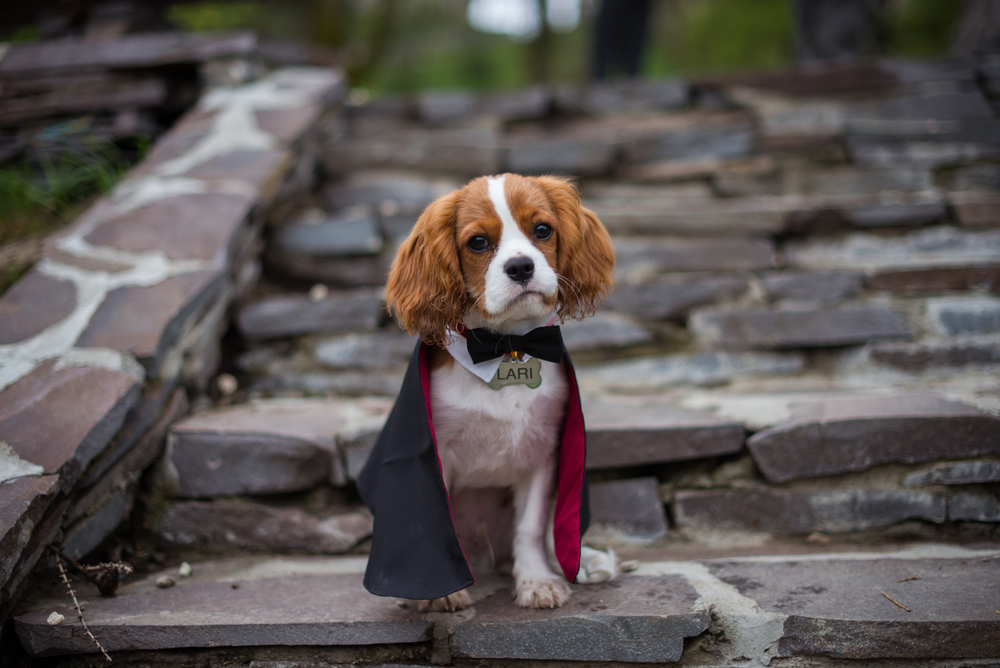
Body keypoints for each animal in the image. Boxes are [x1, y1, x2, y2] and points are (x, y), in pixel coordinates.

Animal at [356, 172, 612, 612]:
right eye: (477, 242)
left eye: (542, 230)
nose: (521, 266)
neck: (506, 347)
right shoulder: (436, 452)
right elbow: (438, 519)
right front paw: (443, 592)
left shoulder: (544, 449)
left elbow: (531, 527)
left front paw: (536, 581)